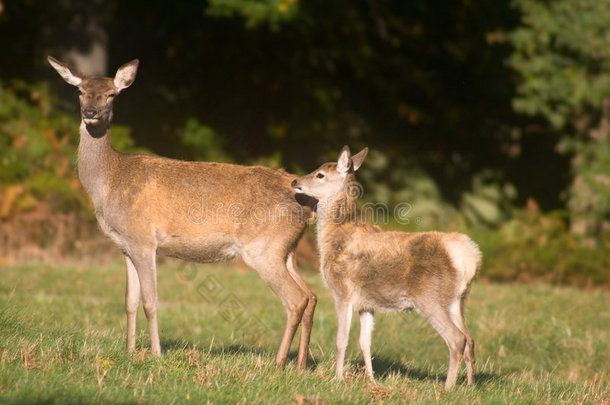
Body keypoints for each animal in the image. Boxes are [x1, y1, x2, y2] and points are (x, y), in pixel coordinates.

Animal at [49, 56, 316, 370]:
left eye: (112, 94)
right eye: (80, 91)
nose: (90, 113)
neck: (109, 181)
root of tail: (308, 202)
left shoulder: (143, 239)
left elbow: (150, 302)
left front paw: (156, 354)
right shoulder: (125, 246)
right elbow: (129, 301)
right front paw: (129, 351)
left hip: (263, 247)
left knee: (295, 299)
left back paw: (277, 363)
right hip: (286, 249)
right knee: (311, 296)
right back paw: (300, 365)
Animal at [290, 146, 480, 388]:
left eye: (320, 174)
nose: (295, 181)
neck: (336, 237)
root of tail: (468, 256)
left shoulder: (342, 292)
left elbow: (341, 340)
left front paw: (337, 378)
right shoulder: (366, 303)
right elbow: (365, 342)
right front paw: (371, 380)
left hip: (430, 297)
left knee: (457, 339)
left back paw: (447, 388)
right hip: (458, 300)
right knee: (470, 340)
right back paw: (470, 386)